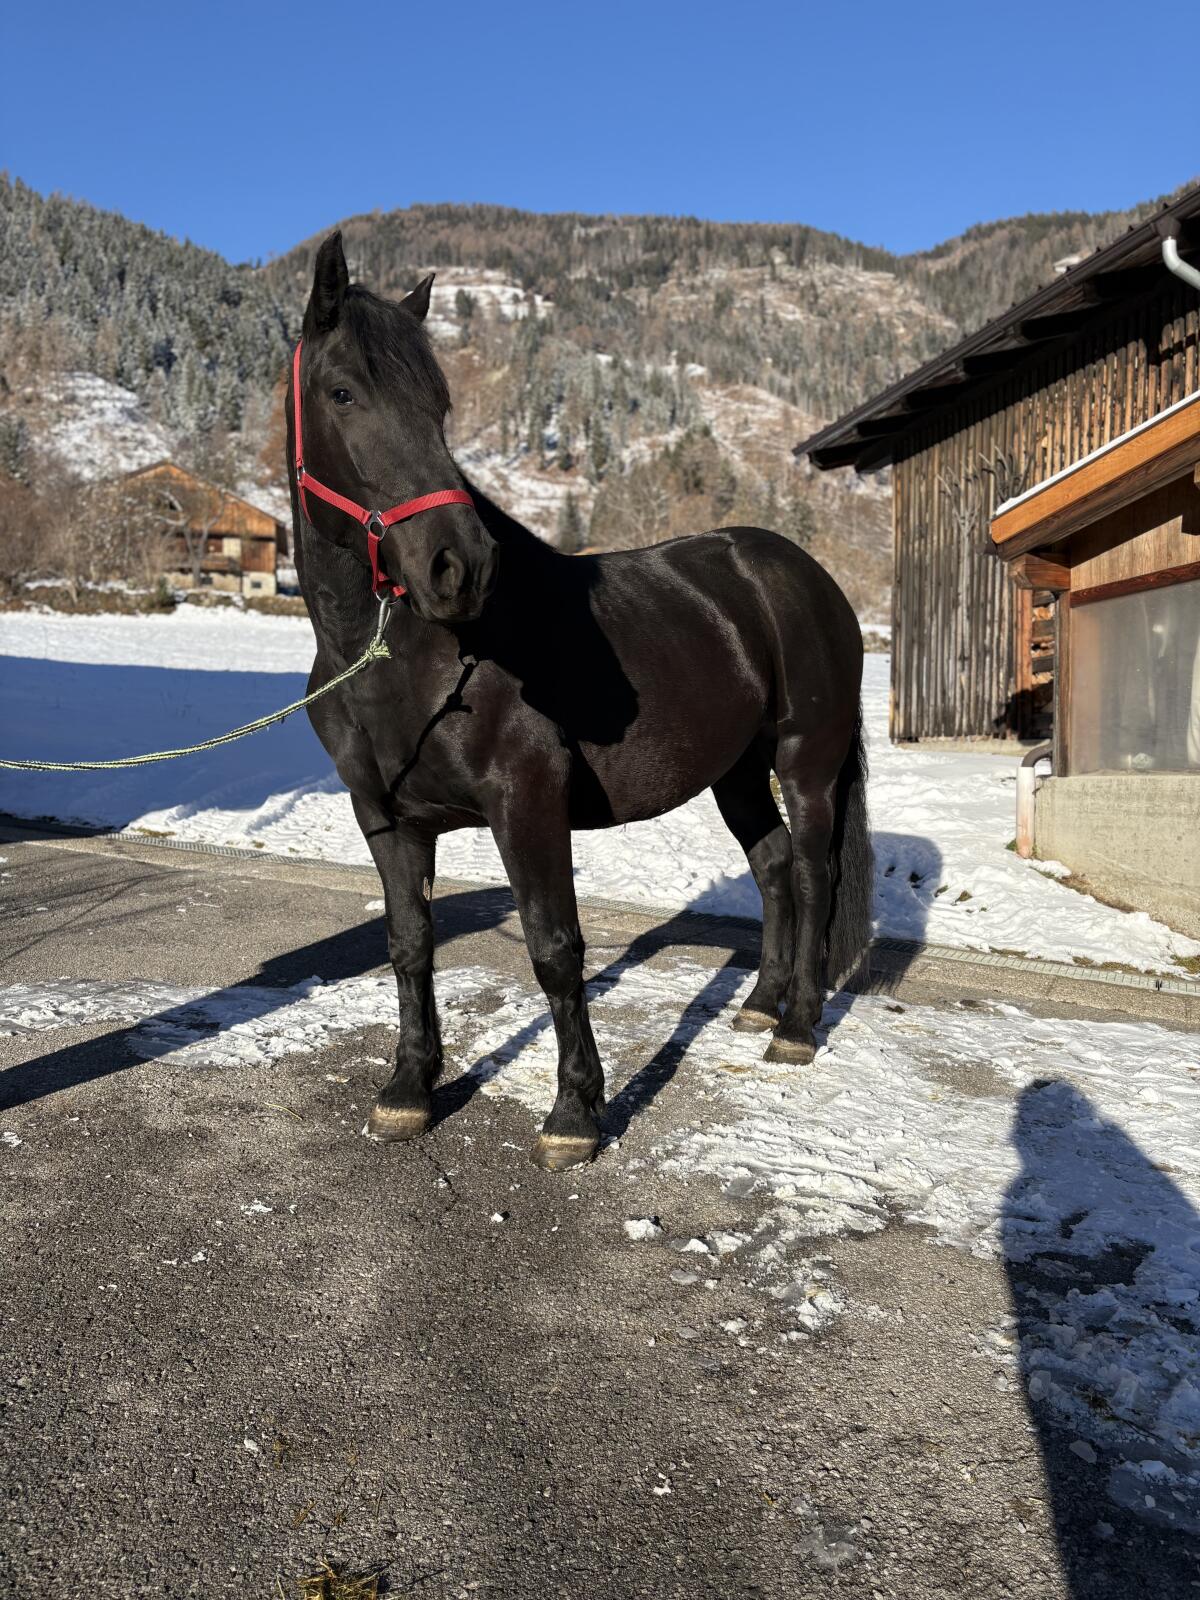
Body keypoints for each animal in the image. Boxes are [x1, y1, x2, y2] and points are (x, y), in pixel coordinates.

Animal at [290, 231, 872, 1172]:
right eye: (342, 391)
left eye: (440, 404)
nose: (458, 567)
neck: (402, 660)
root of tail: (798, 573)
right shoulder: (384, 816)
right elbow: (409, 944)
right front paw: (409, 1089)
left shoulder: (527, 803)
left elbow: (554, 949)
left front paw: (575, 1112)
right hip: (736, 774)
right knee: (776, 867)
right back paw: (759, 1003)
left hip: (805, 760)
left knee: (816, 872)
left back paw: (797, 1026)